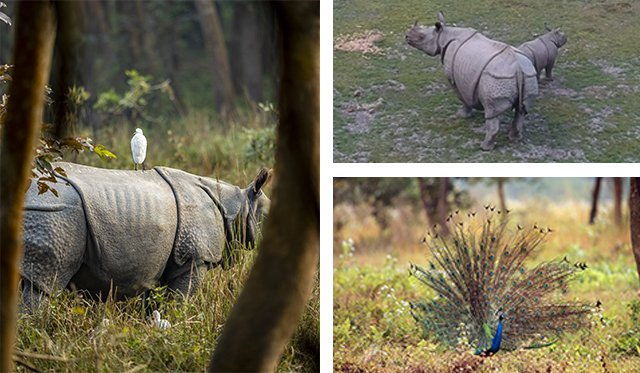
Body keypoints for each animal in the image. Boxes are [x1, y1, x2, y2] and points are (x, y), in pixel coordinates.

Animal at [21, 161, 272, 310]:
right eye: (269, 217)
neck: (238, 204)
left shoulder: (154, 263)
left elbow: (152, 307)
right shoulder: (194, 258)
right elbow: (181, 300)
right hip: (53, 213)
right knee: (41, 289)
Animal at [408, 11, 536, 150]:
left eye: (421, 36)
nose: (406, 36)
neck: (444, 35)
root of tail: (518, 68)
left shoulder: (453, 78)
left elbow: (462, 96)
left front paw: (462, 115)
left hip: (495, 79)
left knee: (492, 112)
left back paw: (484, 147)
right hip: (528, 74)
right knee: (521, 111)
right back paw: (515, 139)